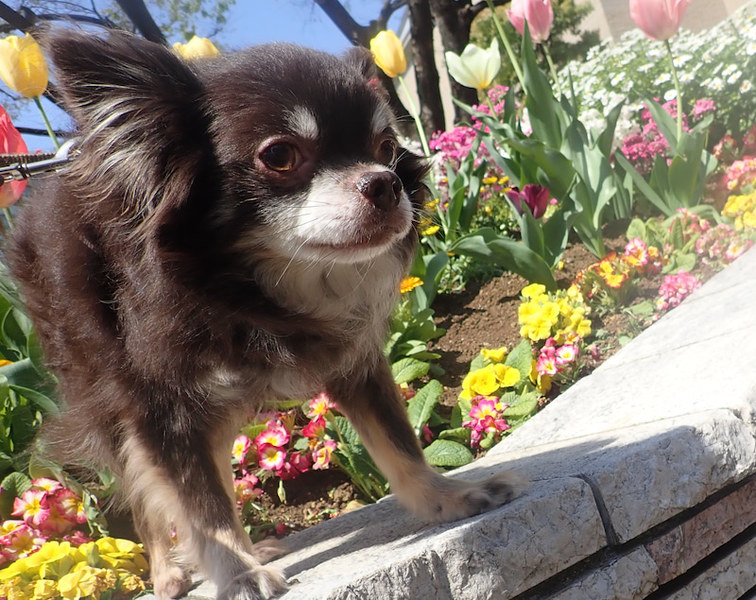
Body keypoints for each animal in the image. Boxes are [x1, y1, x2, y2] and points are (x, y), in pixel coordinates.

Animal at [8, 30, 521, 599]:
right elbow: (200, 507)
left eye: (386, 148)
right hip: (112, 396)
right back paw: (168, 573)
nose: (385, 182)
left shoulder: (356, 362)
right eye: (279, 155)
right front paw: (237, 575)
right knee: (146, 496)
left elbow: (399, 444)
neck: (255, 288)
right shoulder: (158, 407)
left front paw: (449, 498)